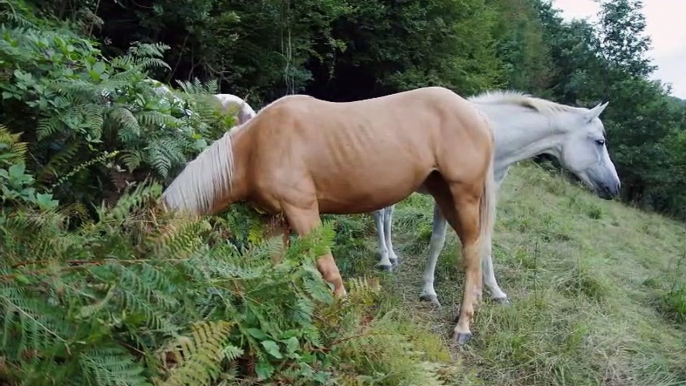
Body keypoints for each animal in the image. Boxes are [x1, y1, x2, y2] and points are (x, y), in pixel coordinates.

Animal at [159, 87, 498, 344]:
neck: (255, 147)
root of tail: (477, 115)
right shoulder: (274, 220)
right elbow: (276, 267)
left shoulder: (303, 211)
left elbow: (327, 268)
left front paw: (344, 315)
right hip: (446, 196)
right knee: (474, 246)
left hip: (463, 195)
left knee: (471, 250)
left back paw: (463, 326)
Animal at [370, 90, 624, 308]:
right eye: (600, 141)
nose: (614, 187)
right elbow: (438, 241)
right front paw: (429, 291)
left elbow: (485, 240)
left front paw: (496, 292)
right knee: (380, 214)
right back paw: (384, 260)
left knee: (387, 213)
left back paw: (391, 255)